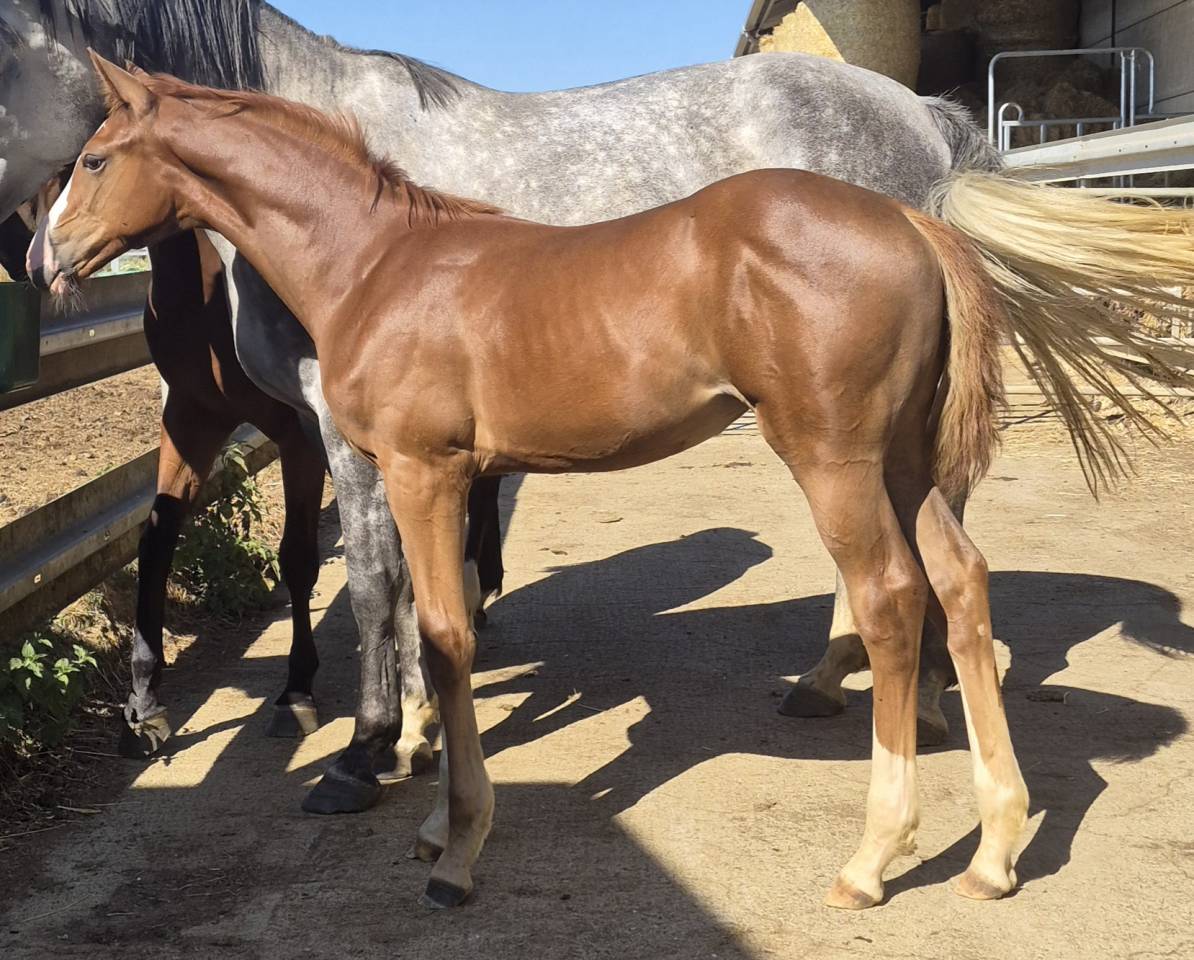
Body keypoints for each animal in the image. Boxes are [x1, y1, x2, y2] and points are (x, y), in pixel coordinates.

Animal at [35, 58, 1194, 909]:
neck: (378, 262)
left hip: (836, 458)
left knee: (891, 600)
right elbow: (427, 632)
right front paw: (429, 813)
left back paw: (873, 856)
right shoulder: (448, 478)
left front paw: (456, 846)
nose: (47, 261)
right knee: (960, 585)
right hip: (908, 464)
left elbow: (441, 637)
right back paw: (994, 851)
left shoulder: (418, 471)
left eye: (92, 158)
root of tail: (916, 218)